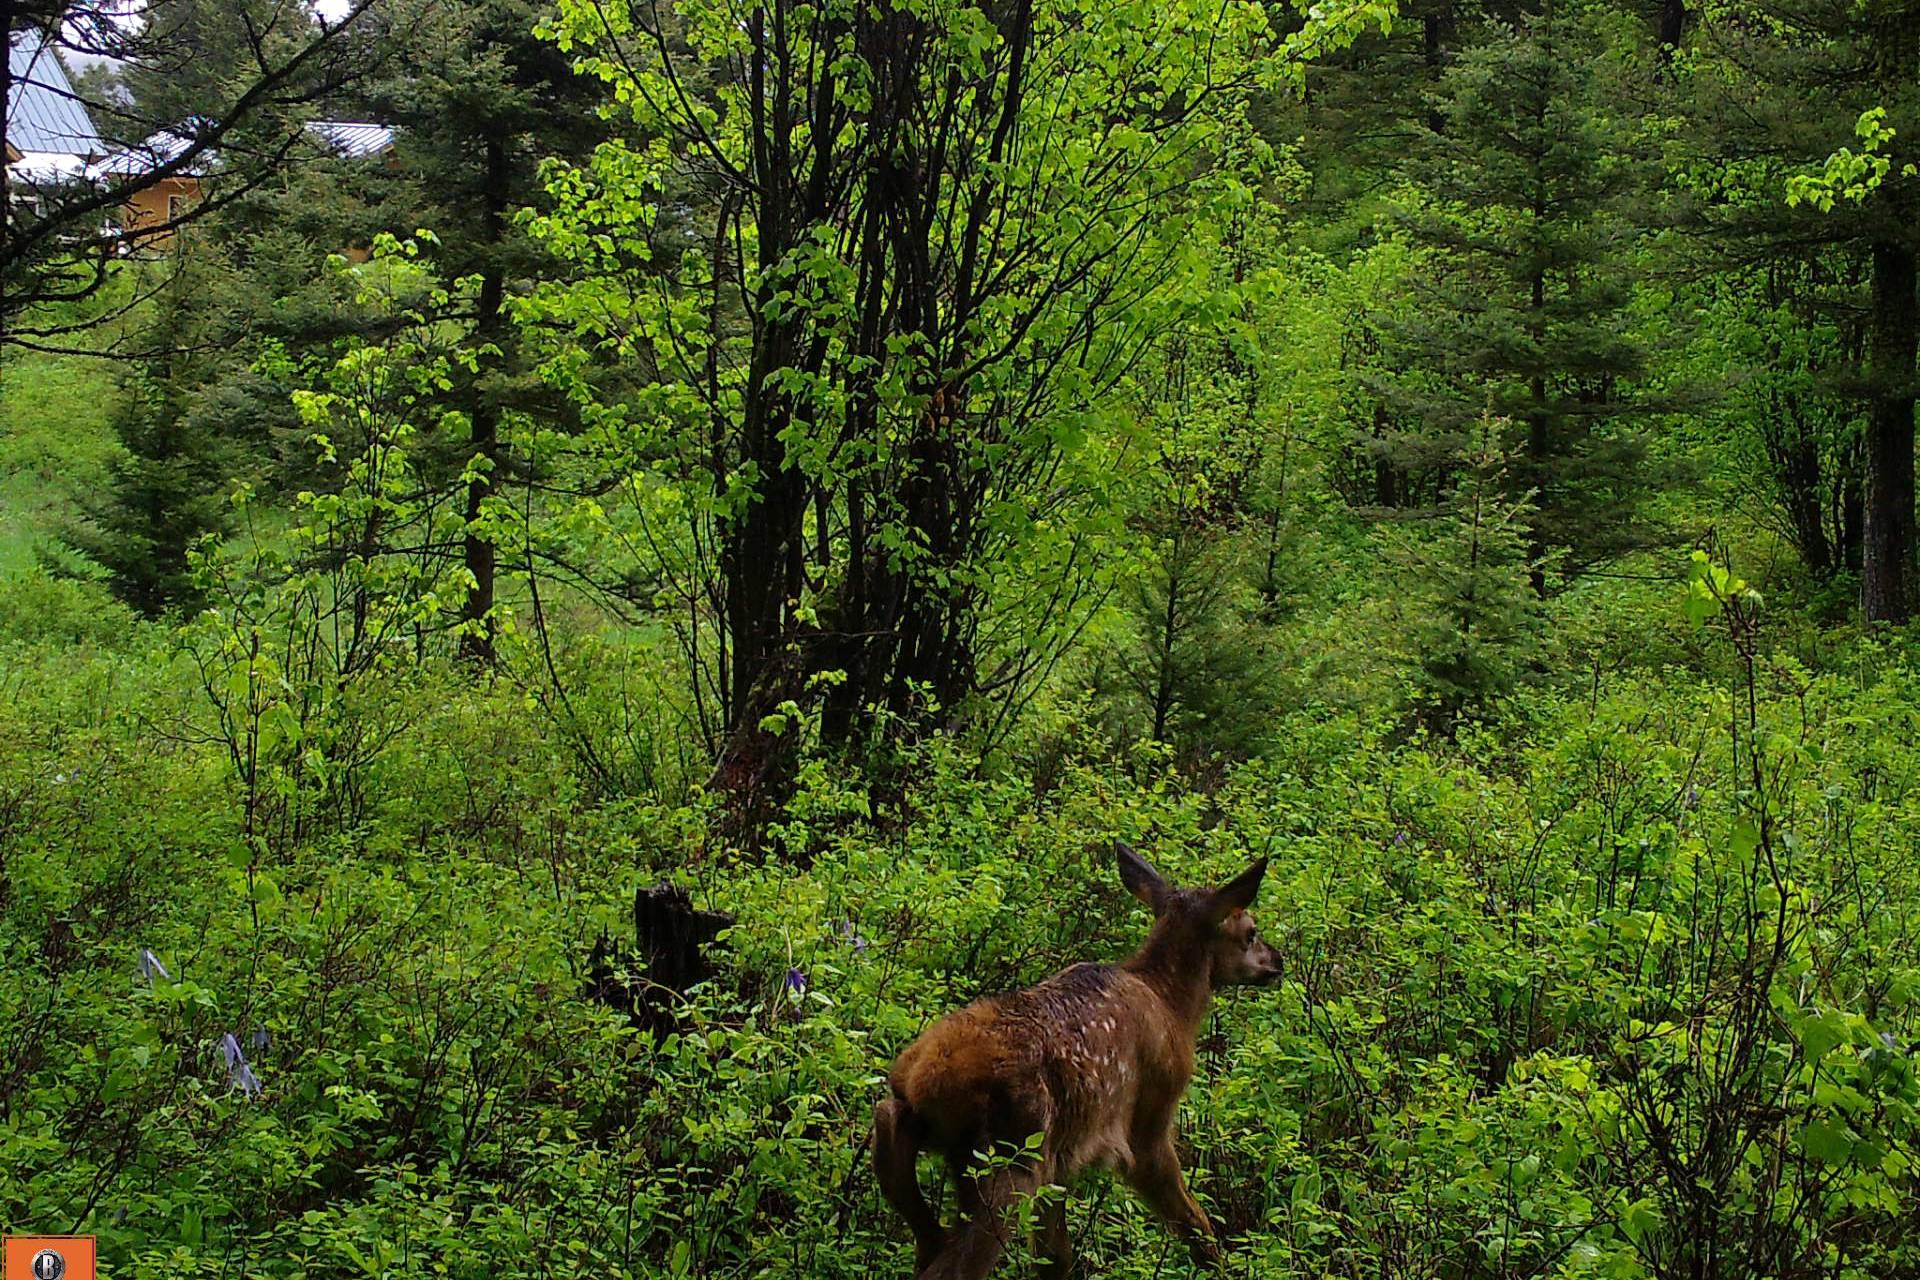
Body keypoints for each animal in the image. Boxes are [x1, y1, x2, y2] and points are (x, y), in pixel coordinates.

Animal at [879, 844, 1282, 1274]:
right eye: (1251, 931)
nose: (1278, 961)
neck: (1173, 1006)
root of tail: (921, 1081)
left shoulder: (1060, 1161)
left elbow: (1054, 1254)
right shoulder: (1149, 1120)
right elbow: (1193, 1221)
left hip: (915, 1135)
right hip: (1011, 1157)